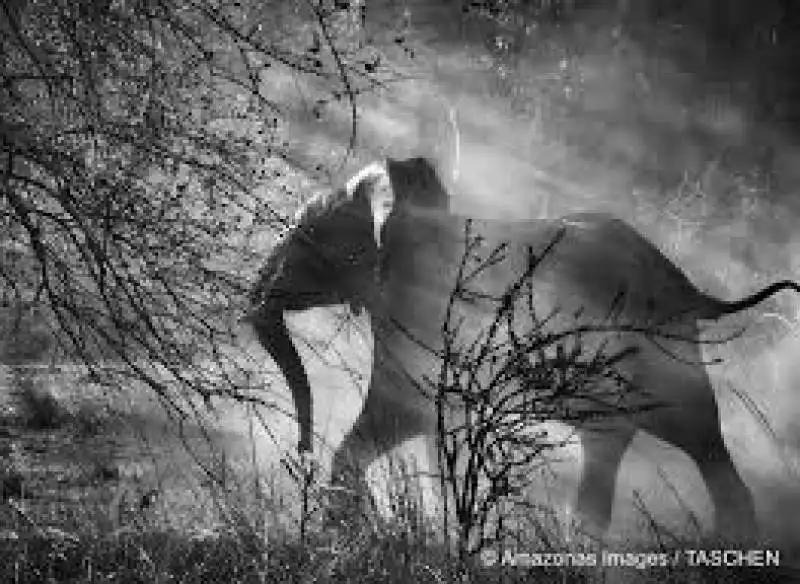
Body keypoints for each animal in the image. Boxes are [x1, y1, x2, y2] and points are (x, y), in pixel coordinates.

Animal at [247, 155, 796, 540]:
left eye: (308, 238)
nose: (299, 452)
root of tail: (688, 286)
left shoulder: (424, 314)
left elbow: (397, 414)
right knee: (632, 445)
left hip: (656, 351)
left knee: (692, 432)